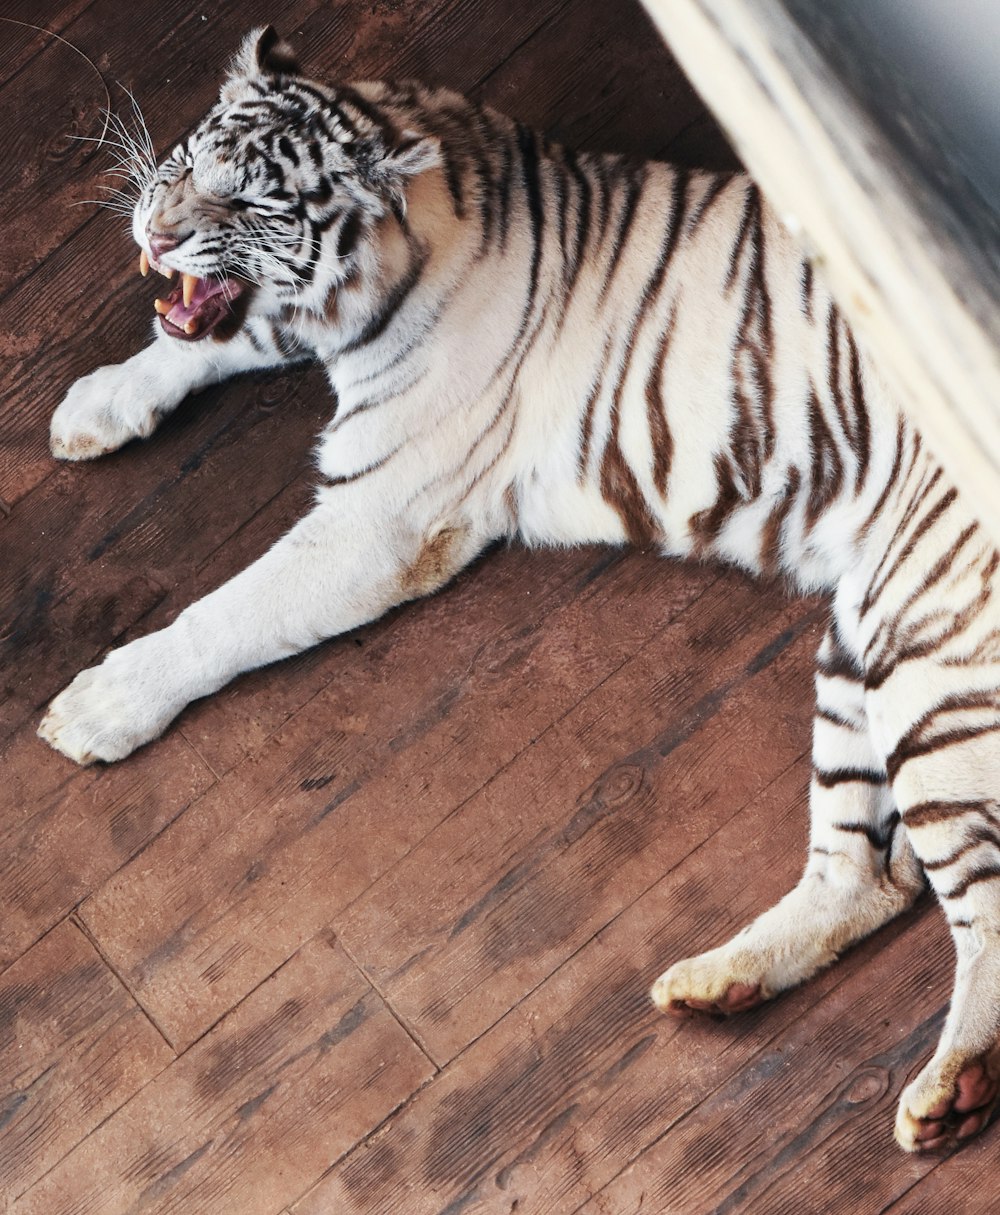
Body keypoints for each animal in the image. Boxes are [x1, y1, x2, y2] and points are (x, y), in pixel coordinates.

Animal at [39, 26, 1000, 1146]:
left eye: (255, 204)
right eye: (189, 161)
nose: (153, 226)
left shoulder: (378, 520)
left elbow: (221, 615)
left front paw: (99, 707)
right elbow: (207, 337)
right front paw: (98, 404)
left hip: (923, 661)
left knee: (977, 898)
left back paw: (949, 1088)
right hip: (858, 645)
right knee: (869, 876)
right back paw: (715, 985)